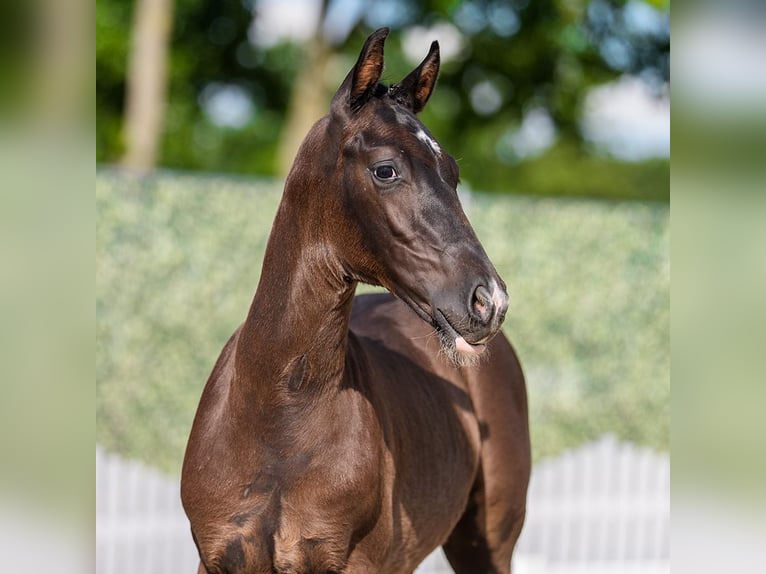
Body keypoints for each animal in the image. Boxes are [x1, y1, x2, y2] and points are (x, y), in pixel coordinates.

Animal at [181, 27, 530, 574]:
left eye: (452, 172)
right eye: (385, 170)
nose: (488, 301)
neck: (276, 421)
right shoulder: (215, 559)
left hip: (488, 540)